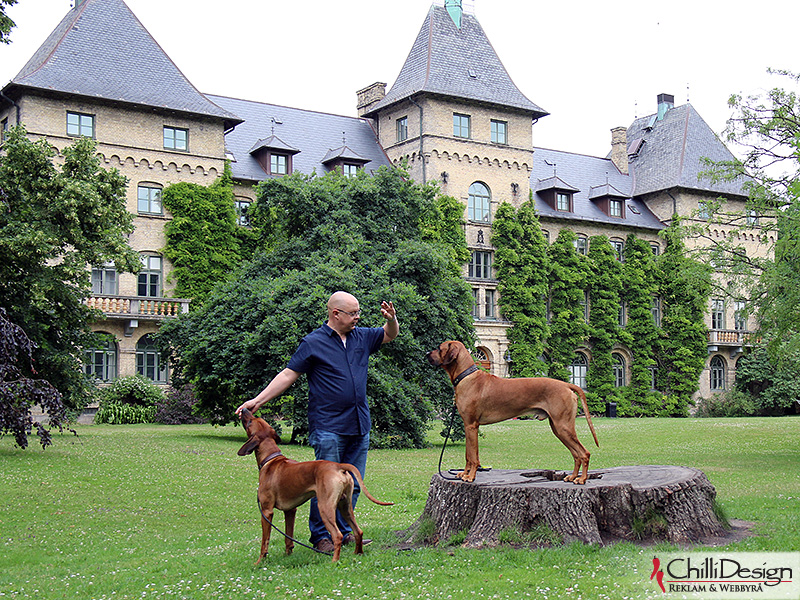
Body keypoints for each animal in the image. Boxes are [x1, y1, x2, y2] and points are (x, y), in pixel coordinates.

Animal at [236, 408, 392, 564]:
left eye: (250, 422)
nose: (244, 409)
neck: (271, 459)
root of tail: (338, 466)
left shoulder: (266, 511)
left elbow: (265, 541)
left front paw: (259, 561)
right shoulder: (290, 510)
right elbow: (288, 538)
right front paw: (287, 557)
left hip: (325, 507)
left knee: (337, 535)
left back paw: (334, 561)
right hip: (345, 506)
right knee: (358, 531)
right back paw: (357, 554)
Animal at [428, 342, 596, 482]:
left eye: (439, 348)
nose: (427, 354)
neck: (466, 376)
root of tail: (566, 385)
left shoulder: (471, 425)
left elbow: (473, 456)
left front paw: (470, 476)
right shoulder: (467, 426)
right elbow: (468, 455)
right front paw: (464, 473)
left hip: (563, 426)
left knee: (584, 453)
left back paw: (581, 479)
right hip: (558, 428)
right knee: (576, 454)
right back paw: (573, 476)